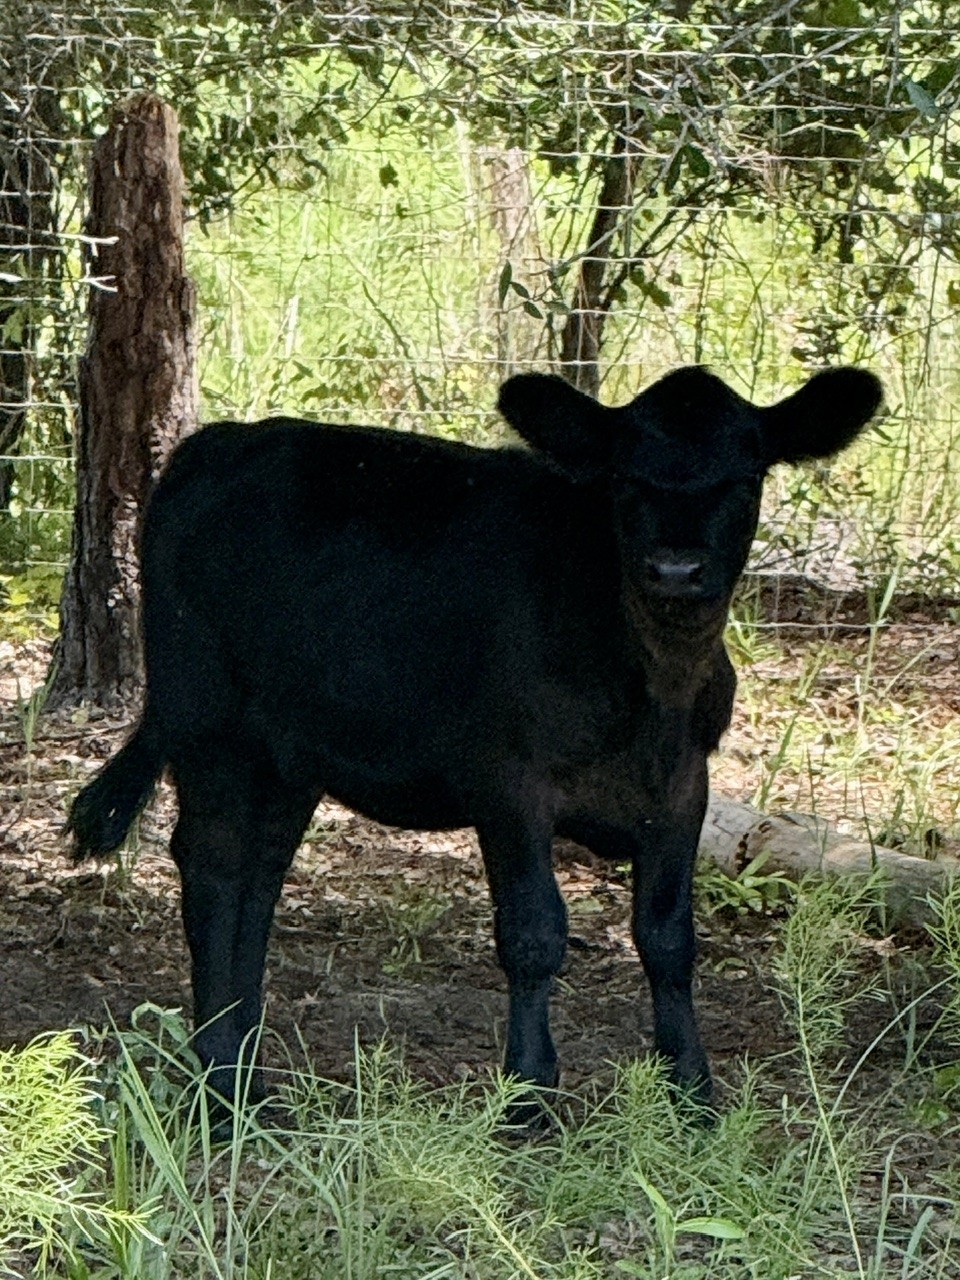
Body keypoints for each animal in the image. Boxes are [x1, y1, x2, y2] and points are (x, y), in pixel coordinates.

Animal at [68, 365, 882, 1113]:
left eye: (745, 477)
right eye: (624, 477)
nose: (676, 568)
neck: (653, 687)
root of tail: (220, 441)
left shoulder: (685, 788)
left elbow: (669, 939)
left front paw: (692, 1088)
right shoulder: (510, 783)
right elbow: (534, 933)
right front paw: (528, 1093)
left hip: (289, 750)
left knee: (260, 874)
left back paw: (250, 1063)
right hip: (209, 718)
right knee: (214, 863)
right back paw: (222, 1079)